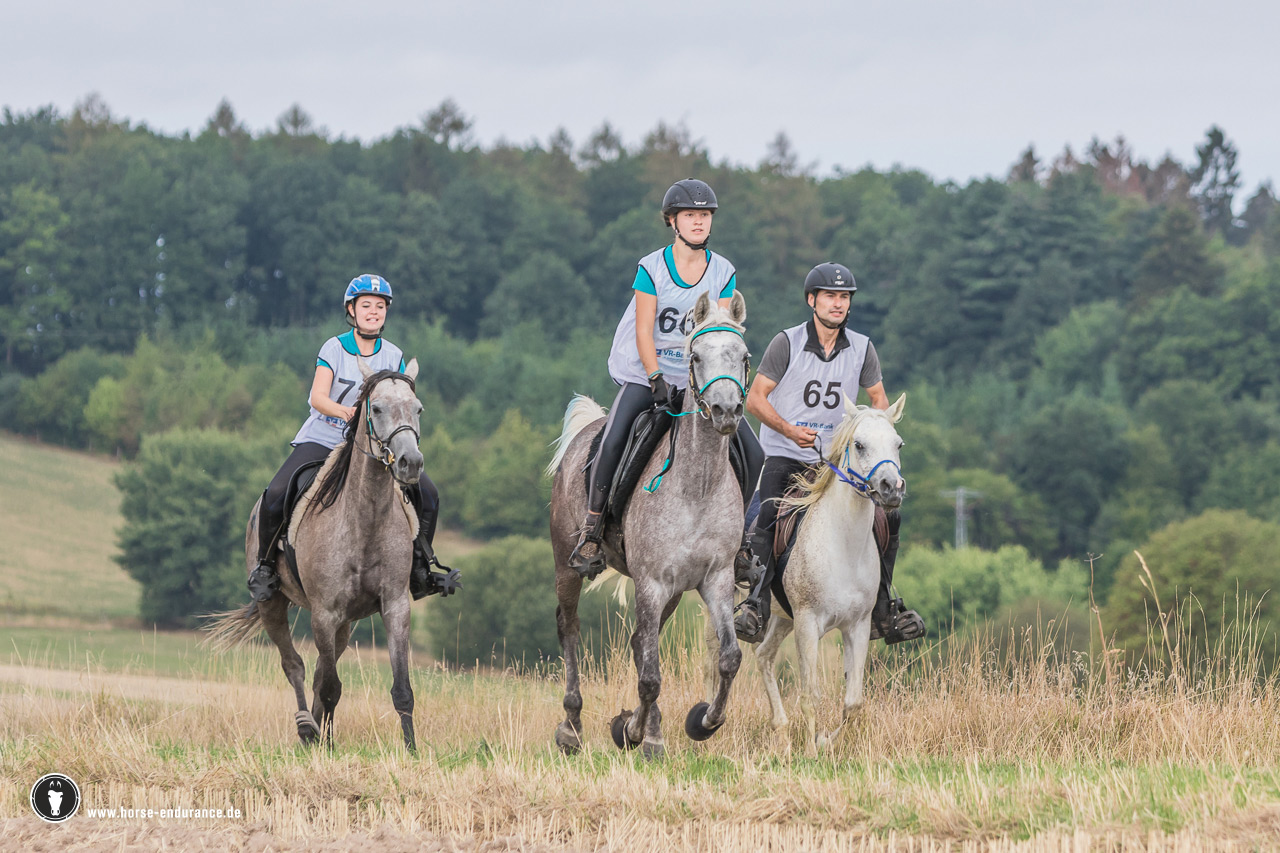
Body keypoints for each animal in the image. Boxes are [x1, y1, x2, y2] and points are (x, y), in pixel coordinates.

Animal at [205, 359, 425, 751]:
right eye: (377, 408)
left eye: (418, 409)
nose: (409, 463)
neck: (365, 517)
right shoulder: (324, 612)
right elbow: (329, 684)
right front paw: (322, 742)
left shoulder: (395, 606)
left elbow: (400, 688)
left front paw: (412, 750)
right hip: (273, 605)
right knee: (295, 665)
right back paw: (307, 728)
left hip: (346, 624)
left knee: (321, 669)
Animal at [547, 292, 750, 759]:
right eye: (695, 356)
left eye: (744, 356)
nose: (726, 411)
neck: (697, 485)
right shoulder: (651, 582)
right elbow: (651, 676)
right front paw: (633, 731)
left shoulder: (716, 578)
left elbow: (728, 658)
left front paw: (702, 722)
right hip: (568, 565)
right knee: (570, 628)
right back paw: (571, 727)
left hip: (673, 591)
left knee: (643, 641)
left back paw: (651, 733)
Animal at [754, 393, 907, 753]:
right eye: (859, 445)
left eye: (899, 444)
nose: (891, 488)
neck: (843, 545)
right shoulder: (808, 625)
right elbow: (811, 696)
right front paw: (810, 753)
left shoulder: (858, 626)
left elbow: (853, 701)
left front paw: (826, 742)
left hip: (782, 617)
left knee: (763, 656)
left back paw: (781, 731)